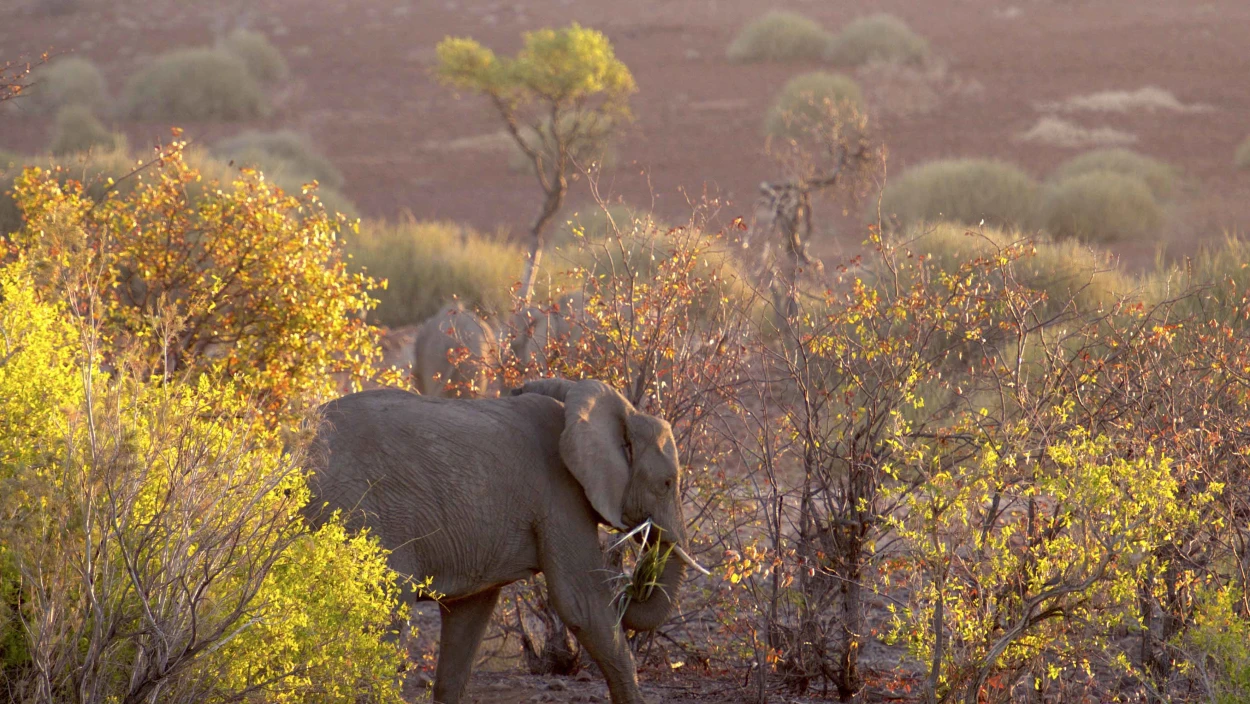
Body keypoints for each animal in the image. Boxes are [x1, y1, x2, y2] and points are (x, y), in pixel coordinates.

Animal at [301, 380, 705, 704]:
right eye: (667, 483)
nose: (631, 585)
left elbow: (468, 617)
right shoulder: (561, 495)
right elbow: (581, 602)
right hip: (361, 514)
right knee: (384, 614)